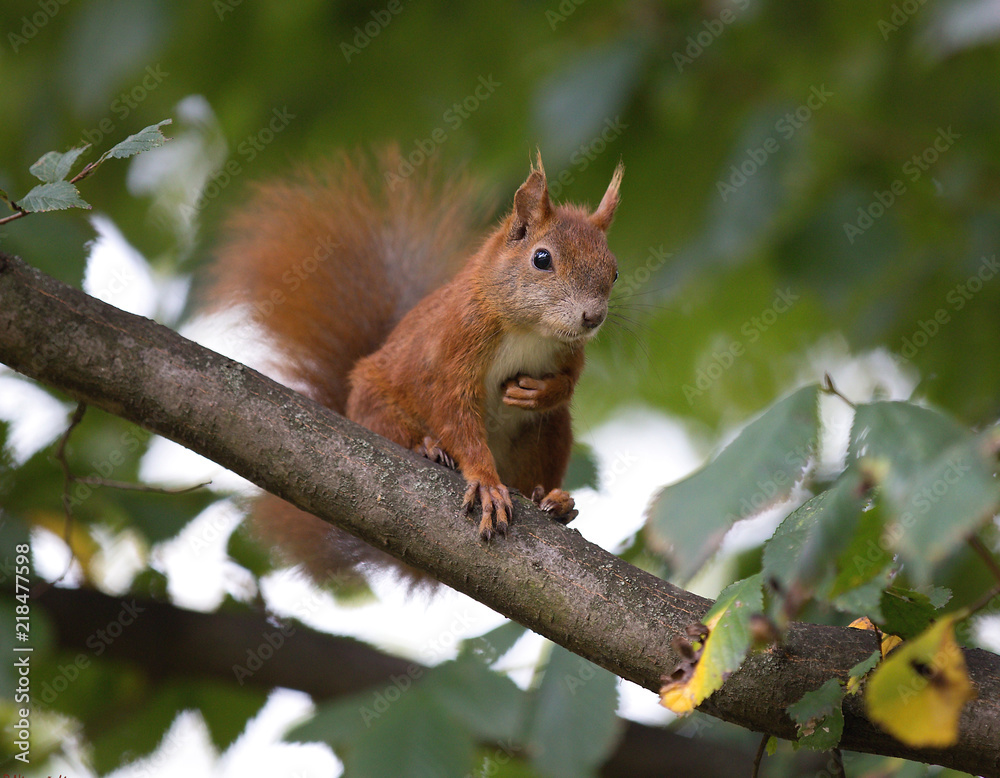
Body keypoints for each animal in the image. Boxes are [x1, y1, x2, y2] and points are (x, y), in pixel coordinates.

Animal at [210, 149, 616, 580]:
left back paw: (550, 499)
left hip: (549, 433)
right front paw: (486, 482)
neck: (531, 330)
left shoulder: (570, 351)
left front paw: (542, 391)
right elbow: (453, 412)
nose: (593, 317)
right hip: (373, 404)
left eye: (614, 271)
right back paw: (426, 447)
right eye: (541, 258)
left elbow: (568, 381)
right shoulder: (452, 349)